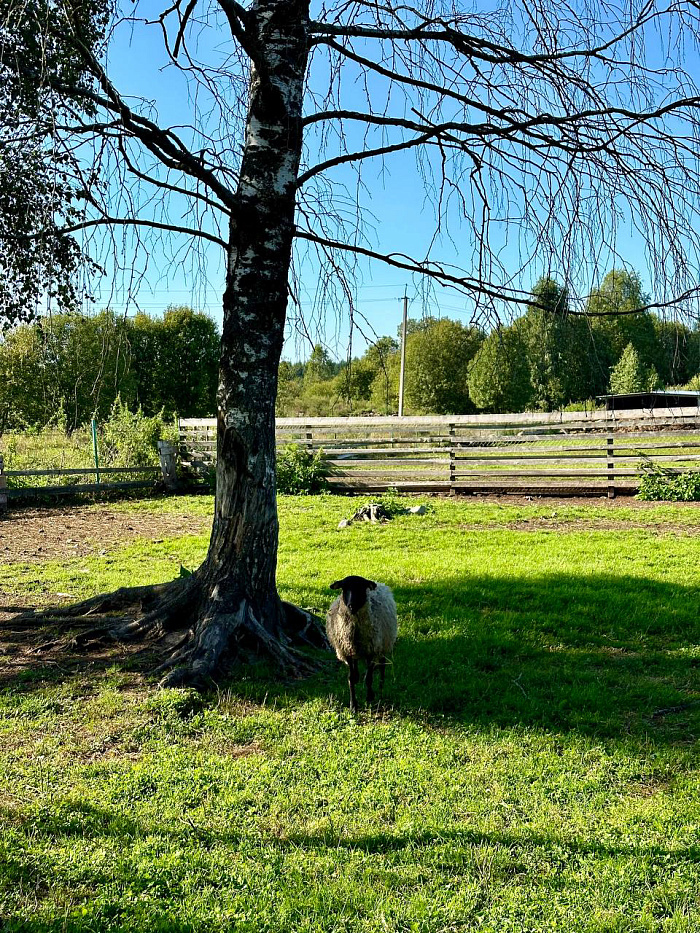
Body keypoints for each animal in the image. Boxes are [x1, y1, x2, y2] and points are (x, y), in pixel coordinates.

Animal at [326, 576, 396, 712]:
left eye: (361, 587)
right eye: (344, 587)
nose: (351, 606)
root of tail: (379, 583)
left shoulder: (371, 651)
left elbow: (368, 678)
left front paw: (369, 697)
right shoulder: (346, 651)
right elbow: (351, 678)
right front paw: (353, 705)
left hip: (383, 645)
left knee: (382, 665)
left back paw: (381, 687)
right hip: (356, 651)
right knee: (358, 665)